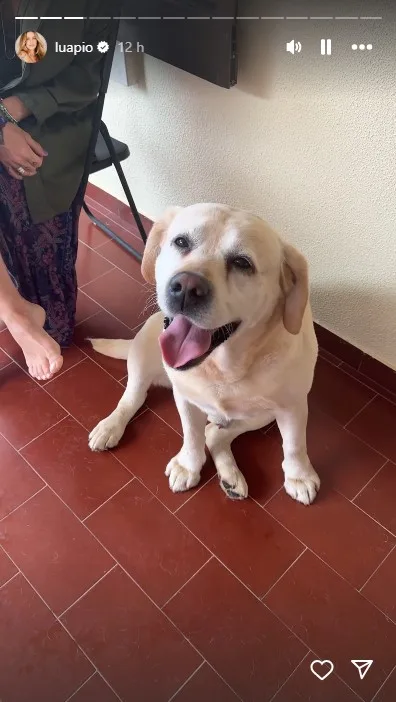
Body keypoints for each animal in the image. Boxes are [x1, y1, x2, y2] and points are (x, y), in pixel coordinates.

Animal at [88, 204, 320, 506]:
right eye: (181, 242)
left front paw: (299, 476)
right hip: (144, 344)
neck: (223, 367)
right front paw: (188, 465)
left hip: (263, 415)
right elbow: (192, 434)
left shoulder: (292, 406)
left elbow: (294, 445)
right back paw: (110, 427)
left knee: (215, 434)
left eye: (242, 263)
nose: (186, 286)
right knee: (133, 398)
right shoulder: (186, 398)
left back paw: (231, 478)